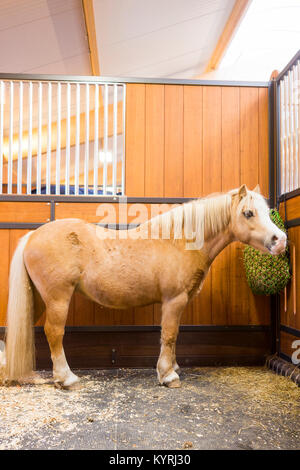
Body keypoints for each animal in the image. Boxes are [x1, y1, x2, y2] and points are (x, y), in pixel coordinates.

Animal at [0, 185, 288, 390]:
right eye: (248, 213)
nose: (281, 240)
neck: (178, 241)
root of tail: (33, 236)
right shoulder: (174, 300)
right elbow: (169, 334)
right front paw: (168, 374)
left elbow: (174, 336)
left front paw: (173, 367)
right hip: (58, 298)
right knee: (54, 333)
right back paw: (66, 378)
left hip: (38, 299)